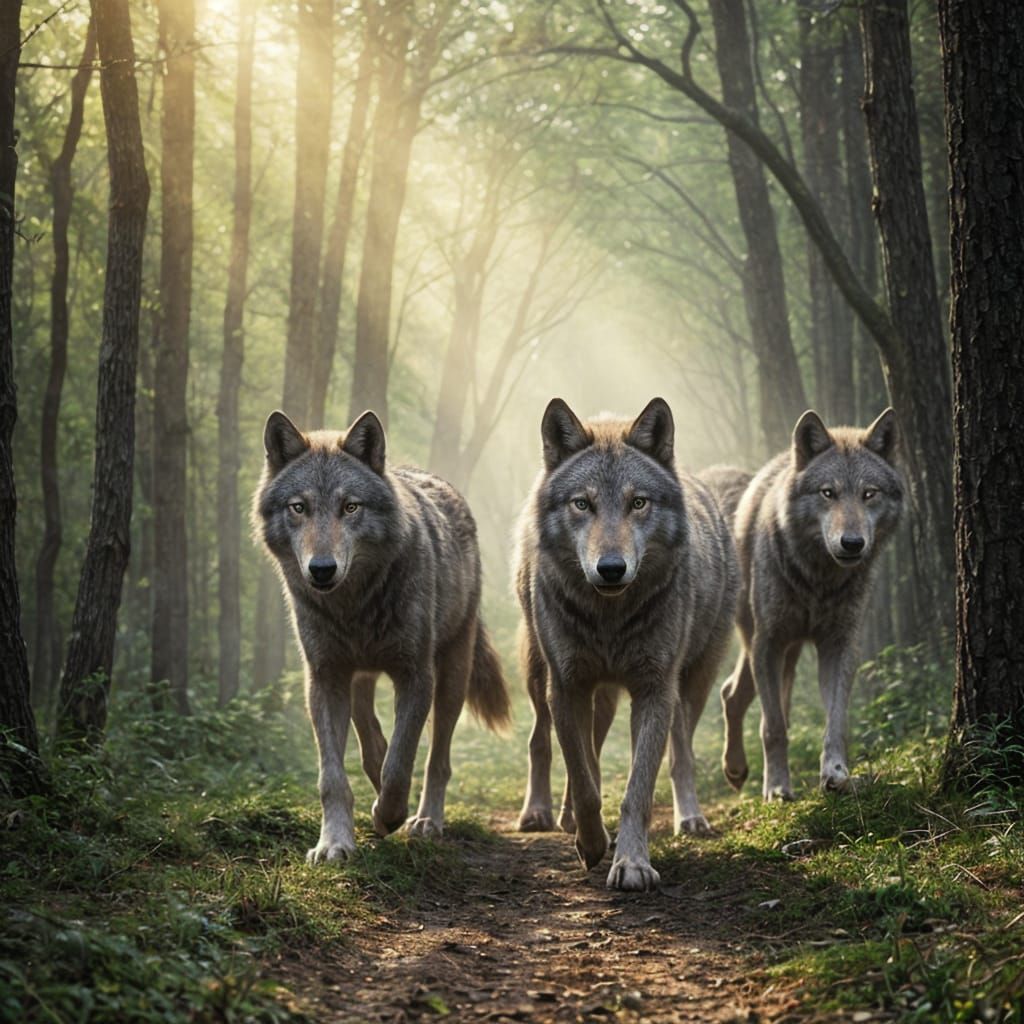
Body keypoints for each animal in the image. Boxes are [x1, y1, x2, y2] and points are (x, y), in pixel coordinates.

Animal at [253, 409, 510, 862]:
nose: (322, 569)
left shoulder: (416, 675)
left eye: (350, 507)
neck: (354, 606)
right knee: (372, 740)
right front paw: (333, 843)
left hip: (452, 675)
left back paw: (424, 820)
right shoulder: (324, 677)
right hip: (358, 679)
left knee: (437, 759)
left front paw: (391, 816)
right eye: (299, 507)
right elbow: (333, 776)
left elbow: (401, 763)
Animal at [515, 397, 739, 891]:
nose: (611, 568)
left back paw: (689, 817)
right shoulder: (566, 687)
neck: (609, 620)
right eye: (583, 504)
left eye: (638, 503)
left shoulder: (655, 689)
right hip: (541, 676)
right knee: (546, 742)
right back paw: (543, 814)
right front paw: (591, 842)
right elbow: (583, 779)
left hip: (690, 681)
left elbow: (637, 789)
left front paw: (632, 863)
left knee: (679, 750)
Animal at [713, 408, 904, 801]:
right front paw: (776, 787)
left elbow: (836, 720)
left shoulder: (839, 645)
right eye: (828, 493)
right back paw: (736, 770)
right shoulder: (768, 642)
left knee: (747, 697)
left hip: (790, 650)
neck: (819, 581)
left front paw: (836, 774)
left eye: (869, 494)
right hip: (760, 642)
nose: (852, 543)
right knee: (732, 695)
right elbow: (772, 727)